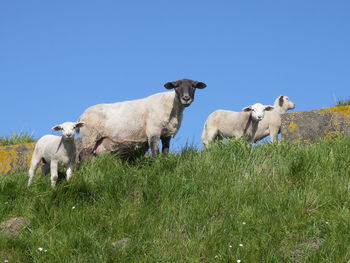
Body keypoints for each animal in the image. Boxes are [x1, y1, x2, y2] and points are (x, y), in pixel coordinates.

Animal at [78, 78, 206, 161]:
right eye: (176, 86)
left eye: (194, 86)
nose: (186, 98)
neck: (172, 106)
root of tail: (82, 115)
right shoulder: (153, 130)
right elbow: (155, 151)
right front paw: (156, 165)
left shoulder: (166, 134)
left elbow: (165, 151)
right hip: (90, 136)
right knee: (83, 156)